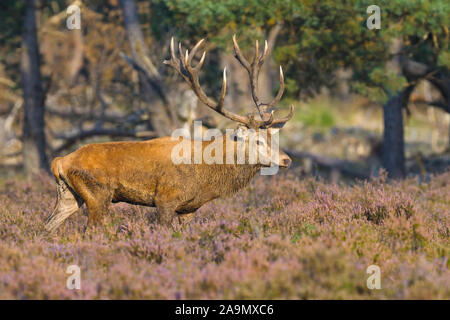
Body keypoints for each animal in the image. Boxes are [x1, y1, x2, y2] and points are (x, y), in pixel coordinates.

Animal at [44, 35, 292, 232]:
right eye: (258, 141)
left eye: (273, 137)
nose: (286, 160)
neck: (205, 174)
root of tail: (60, 161)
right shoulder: (165, 199)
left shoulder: (188, 208)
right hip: (98, 195)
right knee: (90, 230)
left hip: (68, 195)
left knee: (46, 227)